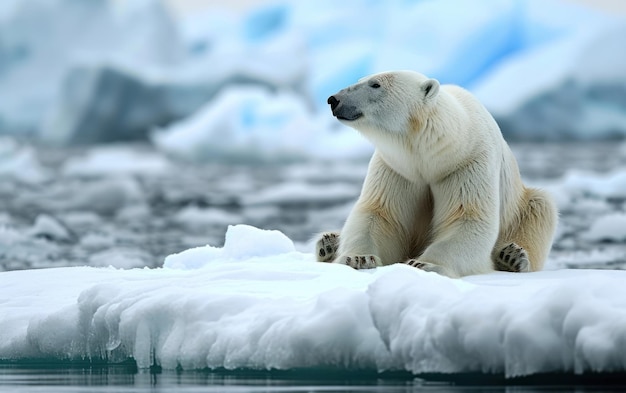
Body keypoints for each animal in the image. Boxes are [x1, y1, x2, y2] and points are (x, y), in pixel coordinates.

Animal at [316, 69, 556, 276]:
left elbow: (467, 217)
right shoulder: (397, 167)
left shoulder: (467, 163)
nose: (333, 99)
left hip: (522, 205)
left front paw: (424, 263)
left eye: (375, 84)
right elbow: (379, 214)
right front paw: (358, 258)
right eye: (361, 79)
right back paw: (328, 243)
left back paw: (512, 256)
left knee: (540, 210)